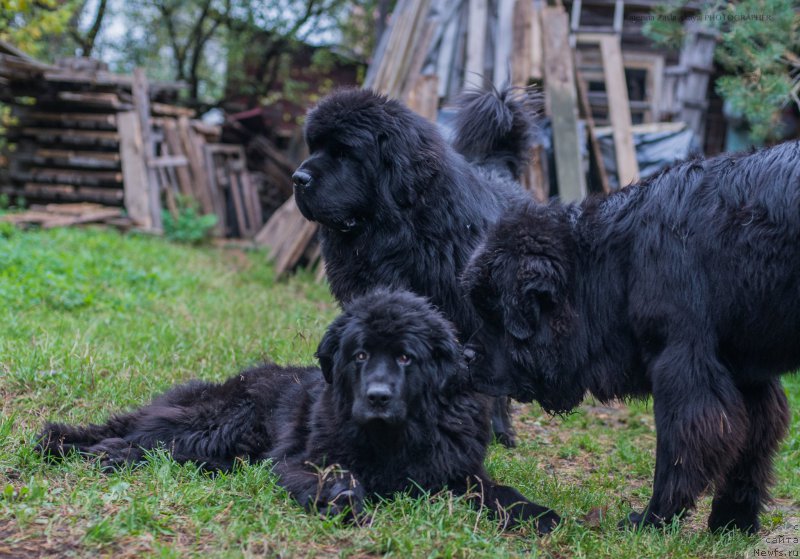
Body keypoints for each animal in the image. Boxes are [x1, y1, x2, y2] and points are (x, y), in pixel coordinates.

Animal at [37, 288, 560, 532]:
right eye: (360, 355)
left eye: (406, 358)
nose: (377, 396)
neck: (395, 437)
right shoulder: (300, 459)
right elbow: (331, 474)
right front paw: (343, 499)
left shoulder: (456, 469)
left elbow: (496, 490)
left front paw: (536, 514)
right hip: (224, 420)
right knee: (144, 436)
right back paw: (94, 450)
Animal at [460, 141, 800, 532]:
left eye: (494, 312)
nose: (464, 355)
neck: (615, 263)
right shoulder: (745, 373)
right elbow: (752, 443)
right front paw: (732, 522)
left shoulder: (680, 365)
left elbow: (682, 447)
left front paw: (652, 519)